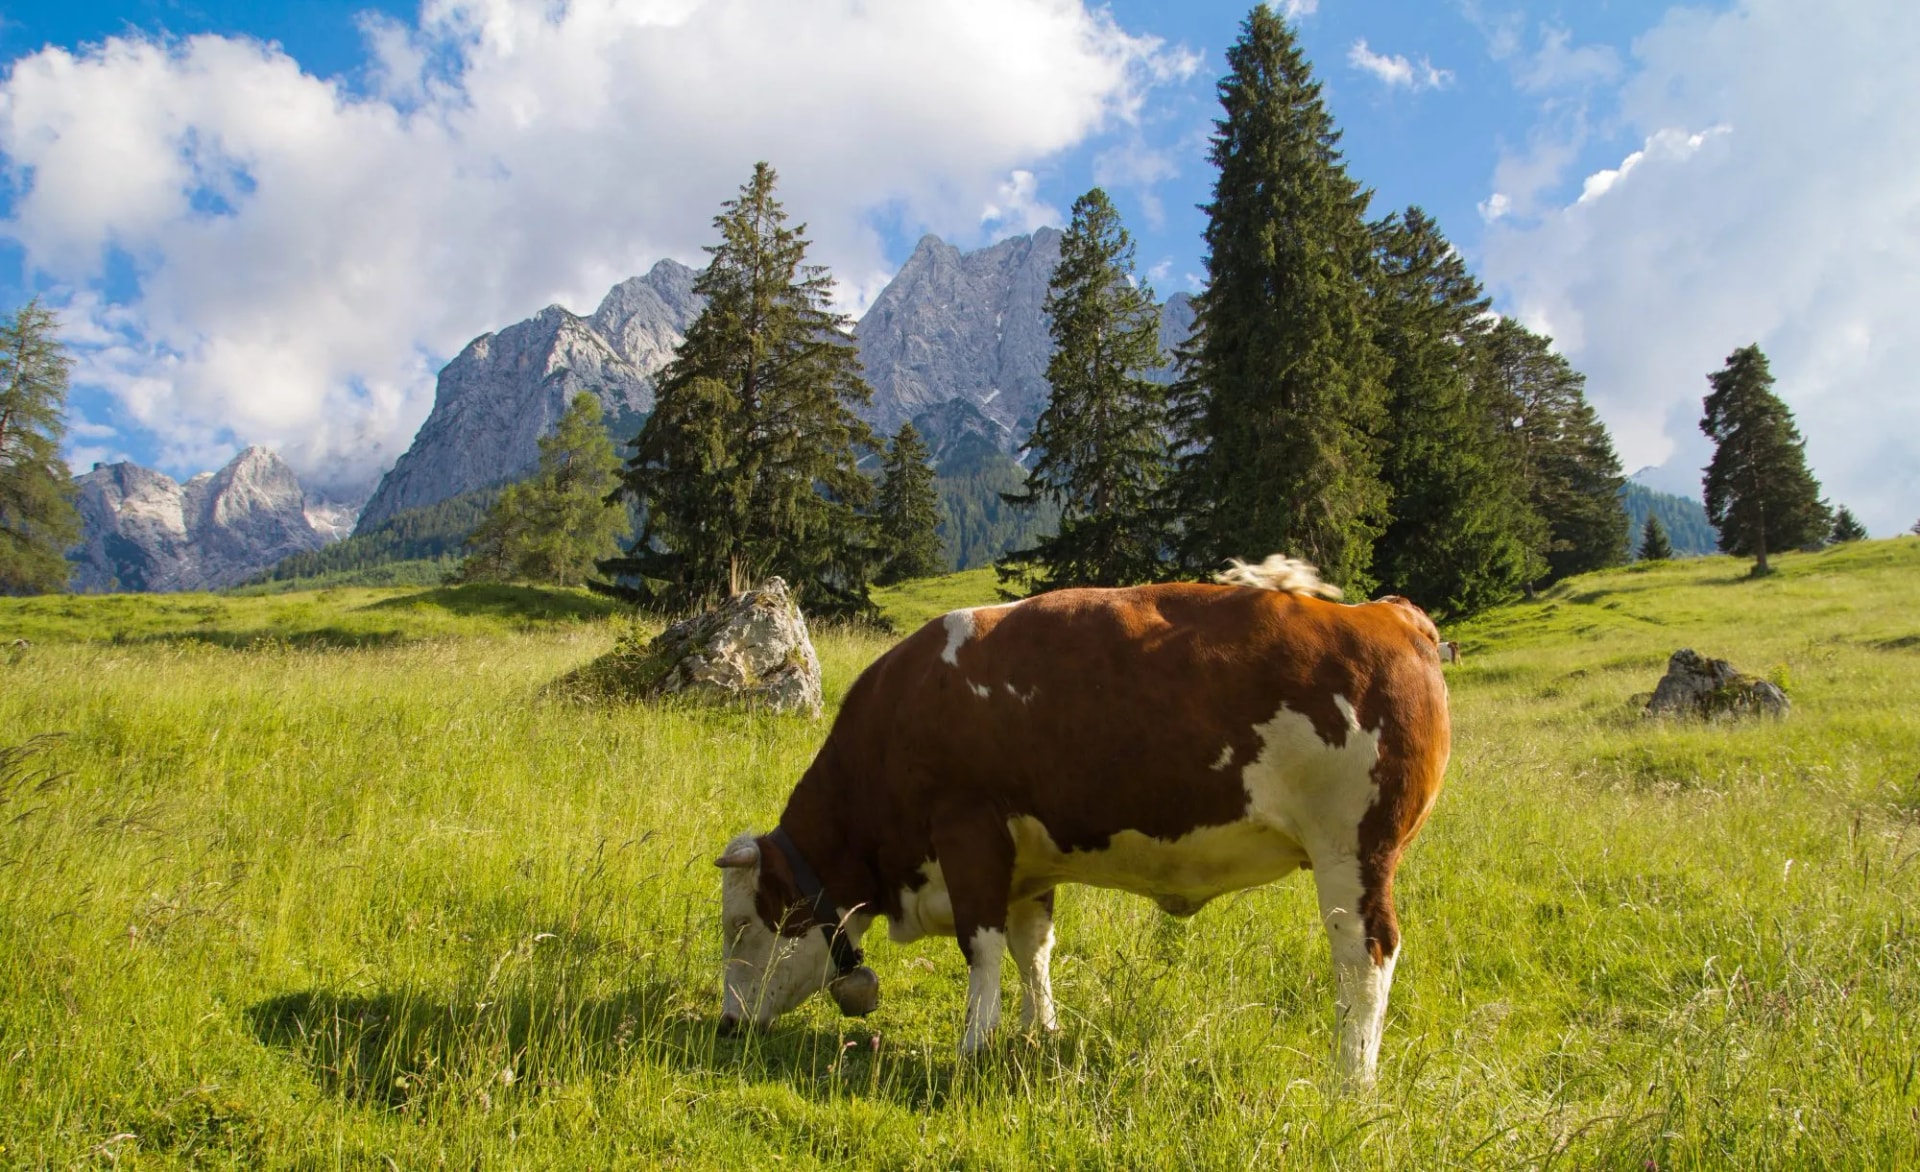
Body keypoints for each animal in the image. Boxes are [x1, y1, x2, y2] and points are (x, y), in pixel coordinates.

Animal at [715, 554, 1451, 1087]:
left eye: (742, 924)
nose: (726, 1025)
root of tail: (1388, 614)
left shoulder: (968, 833)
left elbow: (981, 949)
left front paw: (973, 1046)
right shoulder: (1027, 861)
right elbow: (1032, 947)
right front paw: (1039, 1030)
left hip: (1353, 853)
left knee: (1365, 955)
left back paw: (1350, 1078)